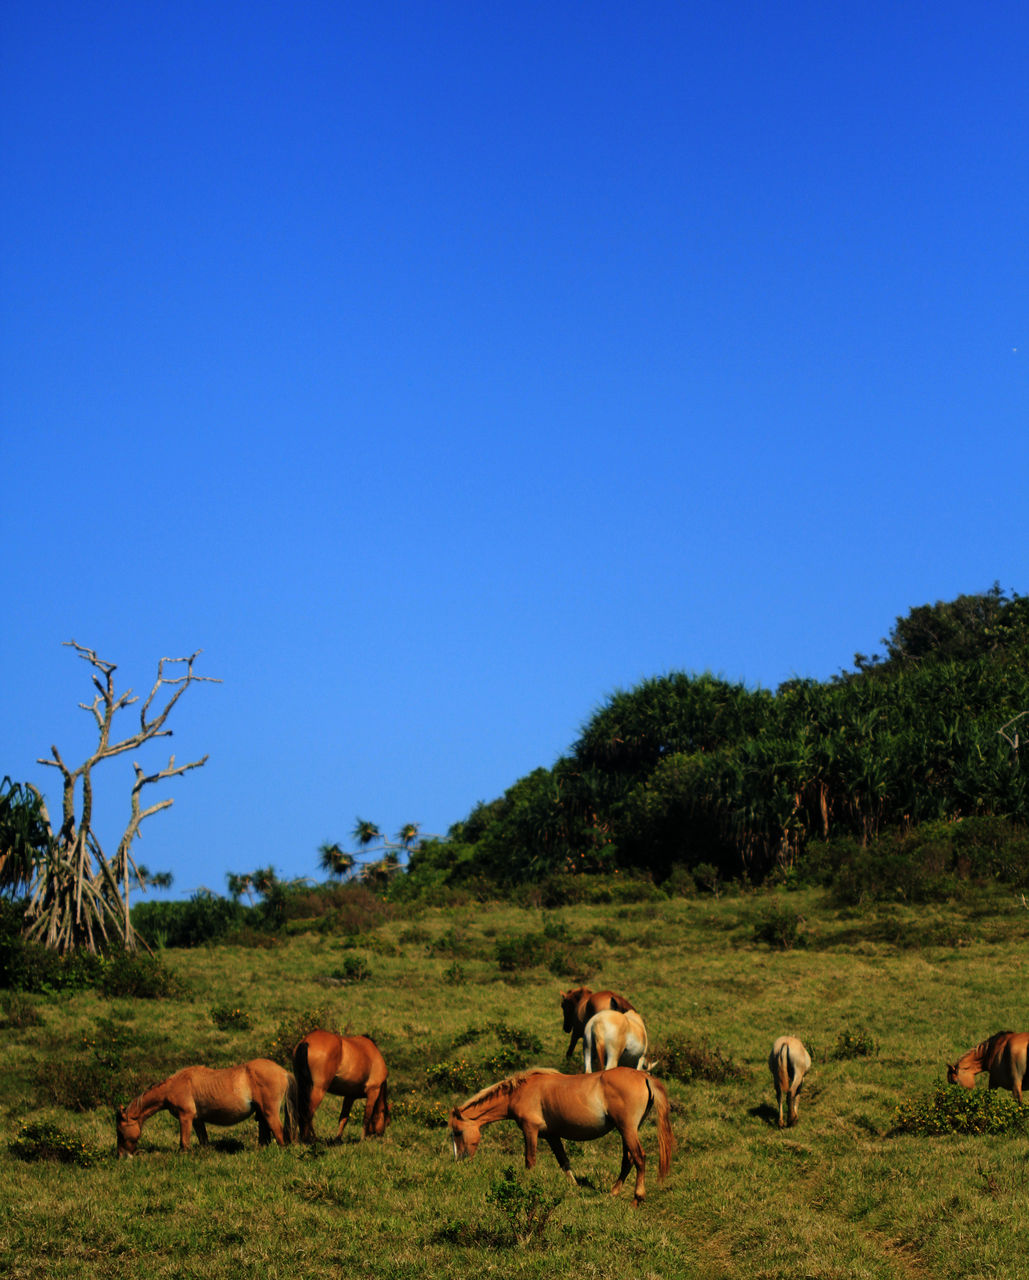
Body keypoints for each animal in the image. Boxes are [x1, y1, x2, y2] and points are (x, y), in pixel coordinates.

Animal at [113, 1059, 296, 1162]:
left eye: (120, 1133)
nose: (122, 1156)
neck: (174, 1086)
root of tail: (283, 1072)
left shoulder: (185, 1117)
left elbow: (184, 1142)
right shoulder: (197, 1120)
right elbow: (204, 1141)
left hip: (270, 1113)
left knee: (280, 1136)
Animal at [450, 1064, 675, 1203]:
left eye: (458, 1132)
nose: (459, 1160)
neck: (519, 1092)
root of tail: (644, 1076)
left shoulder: (530, 1130)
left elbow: (530, 1160)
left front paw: (526, 1186)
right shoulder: (552, 1136)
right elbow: (563, 1161)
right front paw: (574, 1187)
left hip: (627, 1129)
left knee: (639, 1157)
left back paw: (637, 1198)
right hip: (628, 1131)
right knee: (628, 1160)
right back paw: (614, 1192)